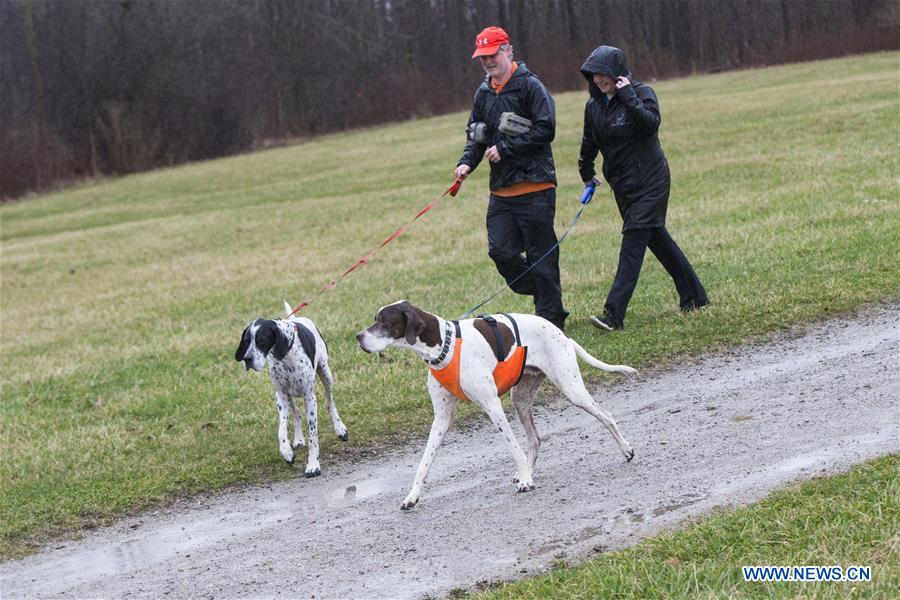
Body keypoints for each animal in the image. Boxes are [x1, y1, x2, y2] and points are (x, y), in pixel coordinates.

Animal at [236, 302, 348, 476]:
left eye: (261, 340)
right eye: (247, 341)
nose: (247, 359)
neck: (285, 353)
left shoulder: (310, 397)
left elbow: (313, 435)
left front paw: (313, 464)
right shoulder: (281, 397)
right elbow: (281, 430)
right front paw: (287, 451)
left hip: (326, 374)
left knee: (330, 402)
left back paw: (340, 428)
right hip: (287, 396)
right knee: (297, 414)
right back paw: (298, 439)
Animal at [356, 302, 636, 508]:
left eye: (383, 322)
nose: (358, 337)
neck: (443, 346)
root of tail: (562, 334)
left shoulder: (492, 406)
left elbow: (512, 447)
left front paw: (526, 482)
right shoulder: (441, 418)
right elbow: (424, 462)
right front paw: (412, 496)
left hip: (571, 388)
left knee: (606, 416)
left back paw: (626, 450)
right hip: (520, 399)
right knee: (535, 440)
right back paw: (526, 472)